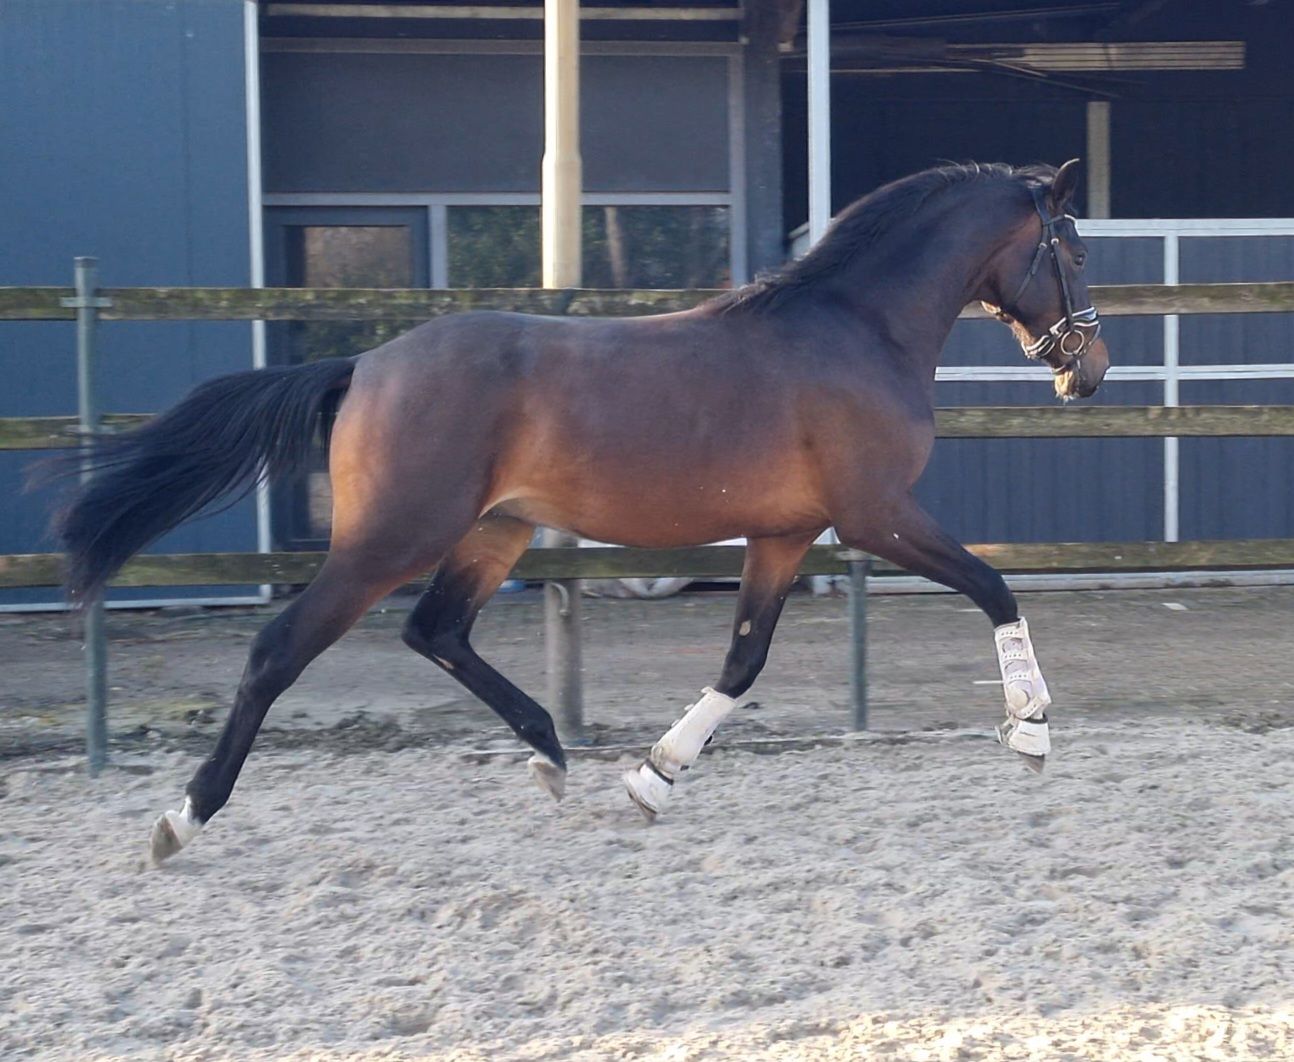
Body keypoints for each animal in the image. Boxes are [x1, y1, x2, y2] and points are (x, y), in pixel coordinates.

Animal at [52, 159, 1110, 863]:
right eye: (1074, 249)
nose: (1088, 370)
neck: (854, 327)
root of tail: (366, 366)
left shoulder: (784, 534)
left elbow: (741, 662)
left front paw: (651, 779)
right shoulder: (875, 516)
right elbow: (994, 585)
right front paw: (1031, 730)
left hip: (495, 529)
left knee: (437, 630)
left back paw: (549, 750)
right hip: (394, 538)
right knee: (282, 649)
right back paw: (183, 817)